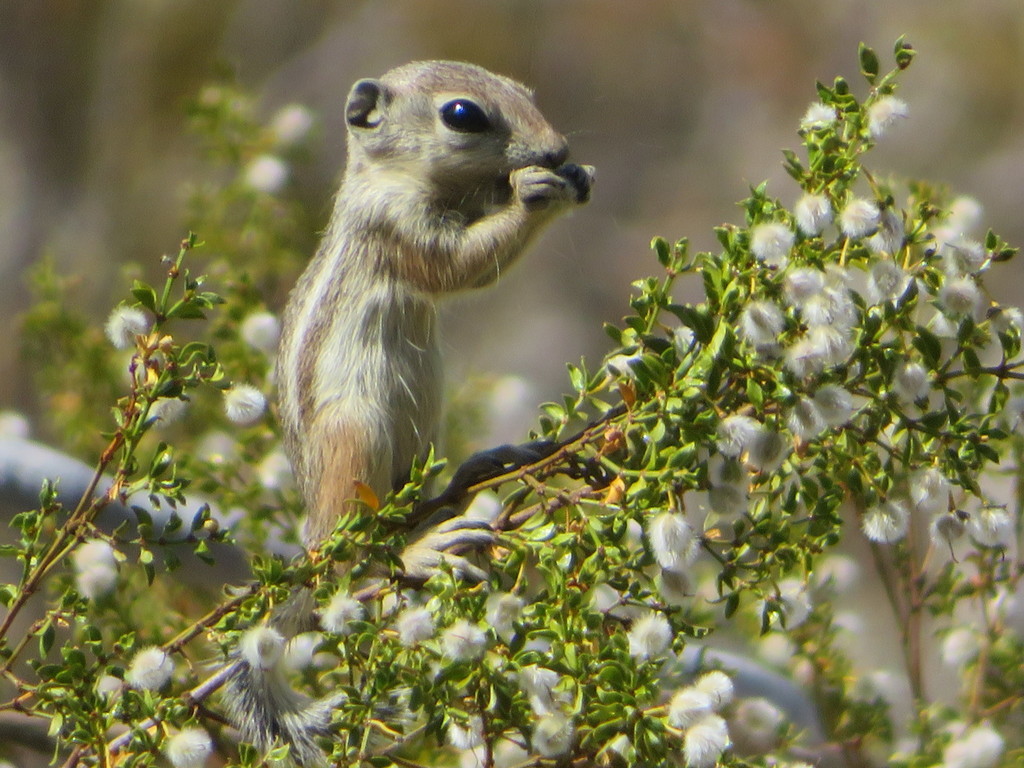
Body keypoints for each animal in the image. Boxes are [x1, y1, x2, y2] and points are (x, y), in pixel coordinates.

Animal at [226, 61, 593, 762]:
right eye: (463, 115)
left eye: (526, 94)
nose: (558, 149)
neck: (391, 176)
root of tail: (310, 536)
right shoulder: (397, 227)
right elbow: (465, 266)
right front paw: (538, 192)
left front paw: (576, 176)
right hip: (358, 438)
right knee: (356, 560)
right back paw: (420, 553)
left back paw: (479, 472)